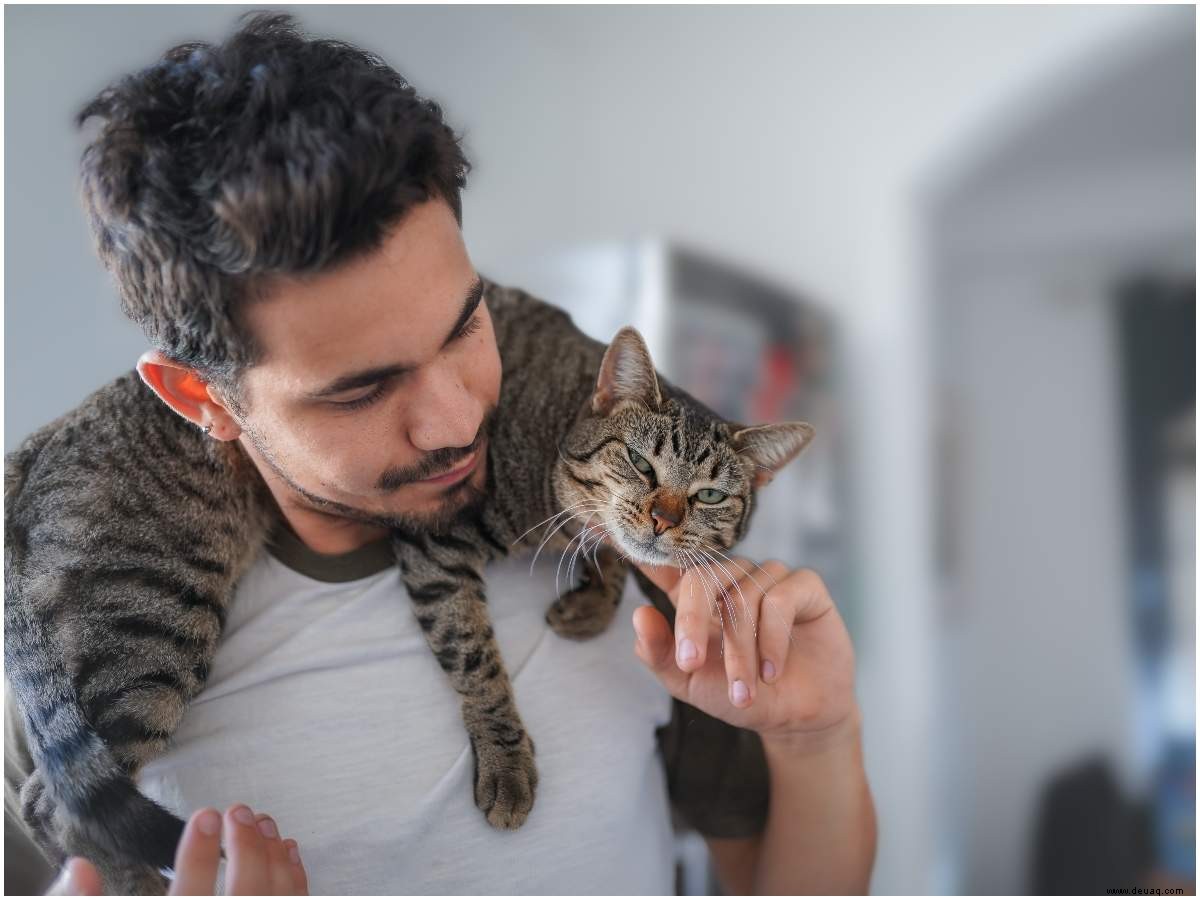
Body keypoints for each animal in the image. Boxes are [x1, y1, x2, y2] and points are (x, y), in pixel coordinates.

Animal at [2, 278, 816, 892]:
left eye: (709, 497)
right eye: (643, 465)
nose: (662, 514)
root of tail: (35, 446)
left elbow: (616, 554)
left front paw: (590, 601)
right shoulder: (434, 543)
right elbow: (478, 662)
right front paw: (508, 763)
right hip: (155, 624)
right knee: (55, 804)